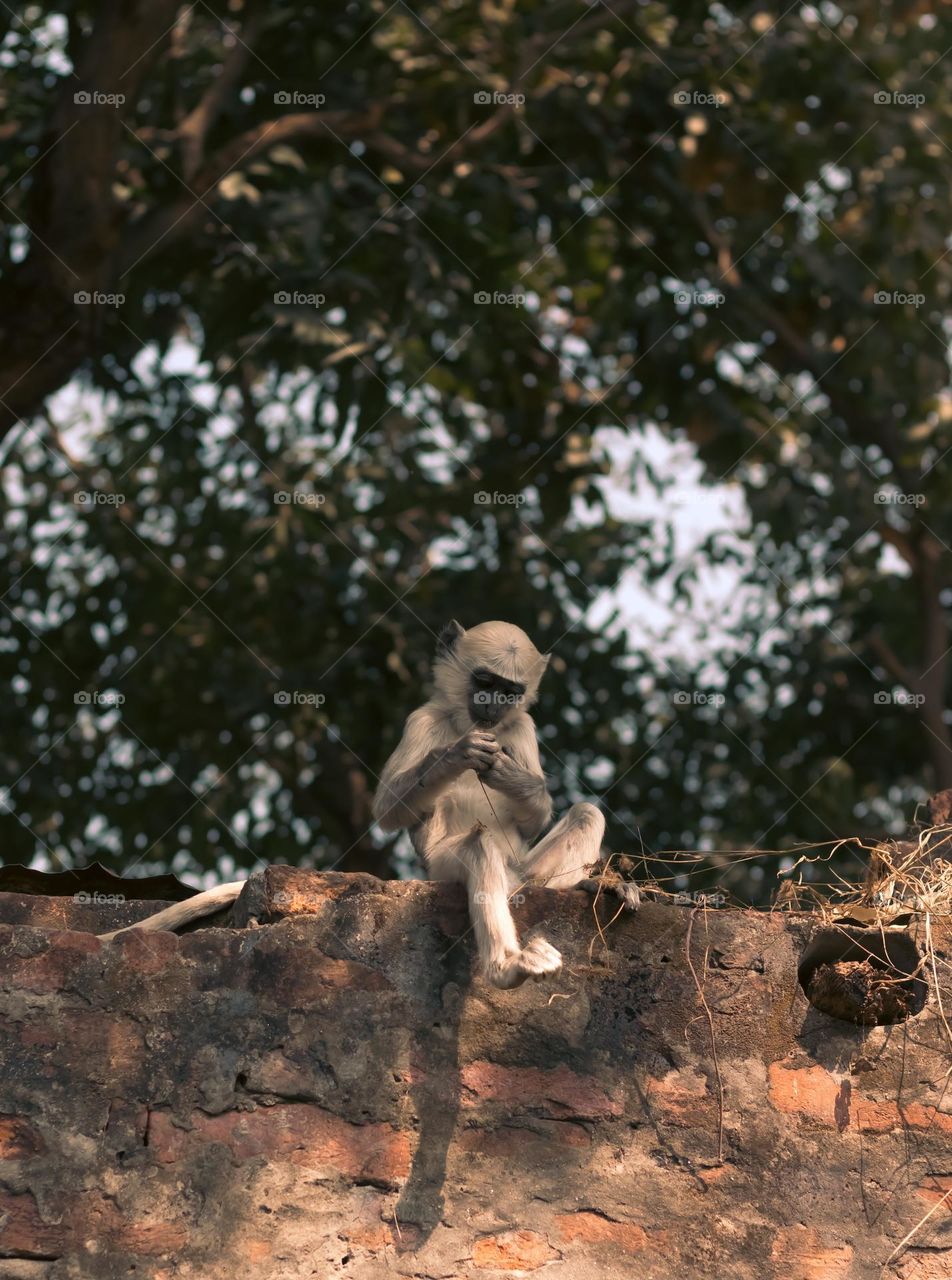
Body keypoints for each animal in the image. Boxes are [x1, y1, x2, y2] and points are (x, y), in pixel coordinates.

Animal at [371, 619, 639, 988]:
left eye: (510, 692)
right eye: (485, 682)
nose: (493, 704)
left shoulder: (523, 726)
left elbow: (532, 821)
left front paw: (507, 774)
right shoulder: (422, 720)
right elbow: (387, 809)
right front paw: (456, 755)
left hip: (528, 873)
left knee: (587, 813)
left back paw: (587, 885)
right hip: (443, 867)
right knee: (478, 845)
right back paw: (506, 966)